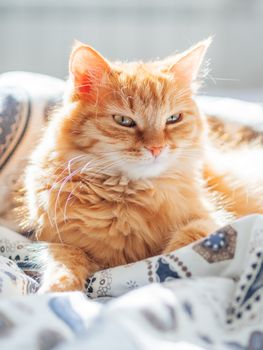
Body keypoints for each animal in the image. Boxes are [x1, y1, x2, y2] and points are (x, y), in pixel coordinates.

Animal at [21, 39, 263, 292]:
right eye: (124, 121)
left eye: (173, 119)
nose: (157, 148)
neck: (131, 195)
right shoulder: (60, 239)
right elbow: (64, 261)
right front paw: (59, 289)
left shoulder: (211, 219)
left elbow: (180, 246)